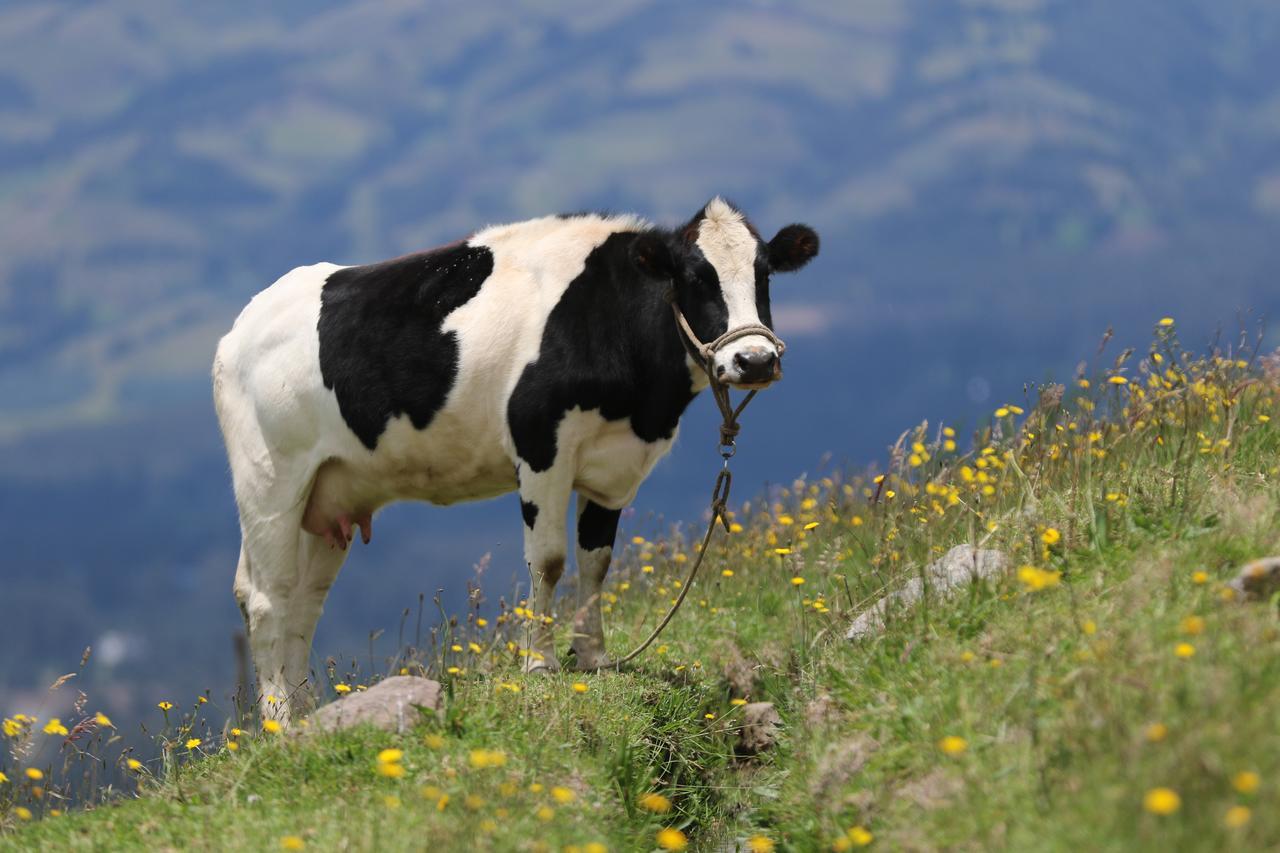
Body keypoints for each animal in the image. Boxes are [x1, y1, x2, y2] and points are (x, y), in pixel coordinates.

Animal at [212, 197, 819, 717]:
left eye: (765, 273)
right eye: (695, 277)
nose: (754, 360)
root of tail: (241, 327)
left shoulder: (614, 466)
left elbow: (597, 561)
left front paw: (594, 658)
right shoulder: (541, 442)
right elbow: (548, 560)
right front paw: (540, 662)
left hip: (331, 492)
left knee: (304, 599)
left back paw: (306, 713)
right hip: (270, 479)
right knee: (266, 597)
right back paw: (278, 720)